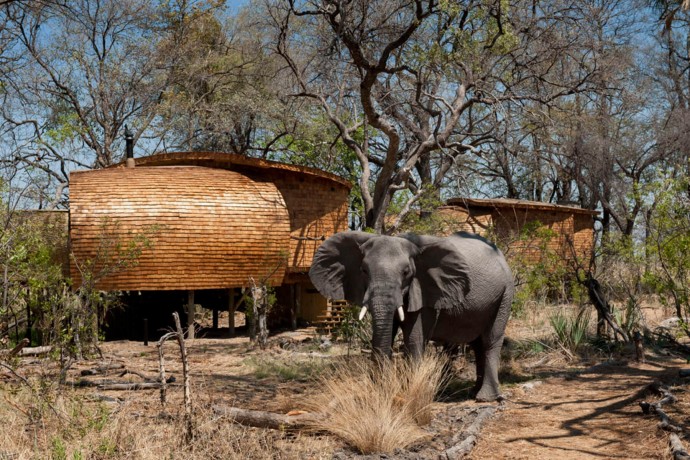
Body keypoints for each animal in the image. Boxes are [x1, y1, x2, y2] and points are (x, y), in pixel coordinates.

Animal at [310, 232, 512, 400]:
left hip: (504, 295)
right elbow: (387, 332)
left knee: (490, 340)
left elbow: (414, 338)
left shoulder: (426, 290)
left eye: (406, 272)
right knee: (477, 344)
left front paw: (408, 394)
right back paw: (474, 392)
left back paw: (485, 398)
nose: (383, 387)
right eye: (364, 271)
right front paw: (381, 391)